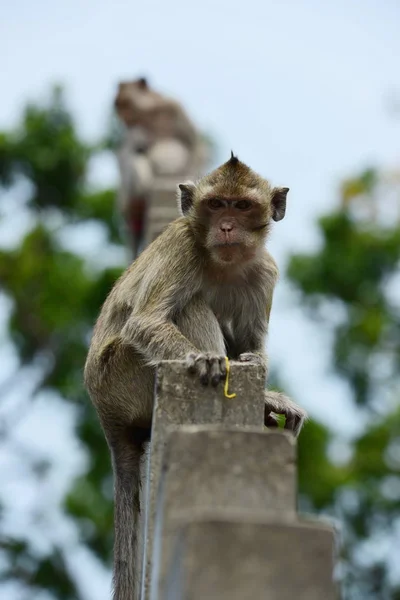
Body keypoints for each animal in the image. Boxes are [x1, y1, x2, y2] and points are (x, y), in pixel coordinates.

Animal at [84, 155, 308, 600]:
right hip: (122, 377)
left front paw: (262, 383)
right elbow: (146, 321)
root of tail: (103, 410)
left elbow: (252, 346)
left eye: (242, 206)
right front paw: (213, 366)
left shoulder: (265, 271)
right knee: (190, 305)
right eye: (216, 204)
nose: (226, 226)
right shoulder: (183, 248)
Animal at [112, 76, 206, 258]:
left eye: (126, 103)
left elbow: (194, 145)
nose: (125, 118)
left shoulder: (174, 107)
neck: (150, 111)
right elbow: (126, 155)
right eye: (119, 105)